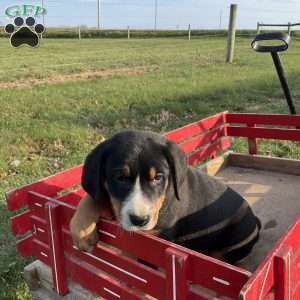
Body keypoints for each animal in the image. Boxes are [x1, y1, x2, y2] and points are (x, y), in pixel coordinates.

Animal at [69, 130, 260, 264]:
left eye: (158, 178)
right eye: (120, 178)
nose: (140, 220)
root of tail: (255, 219)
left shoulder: (156, 239)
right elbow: (92, 198)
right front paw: (82, 232)